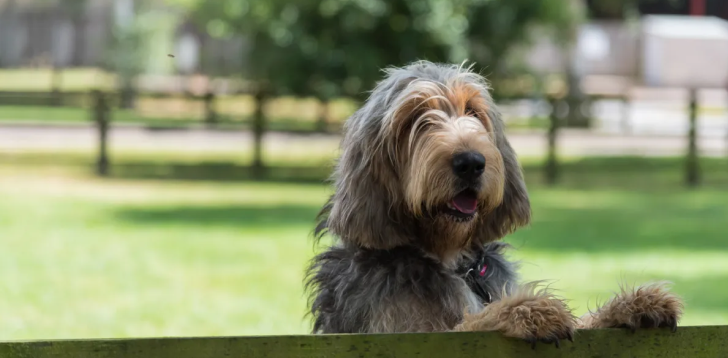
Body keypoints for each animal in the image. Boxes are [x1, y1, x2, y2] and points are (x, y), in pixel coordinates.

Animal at [306, 60, 684, 346]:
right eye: (415, 118)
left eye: (473, 110)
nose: (471, 162)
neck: (450, 258)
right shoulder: (406, 333)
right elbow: (470, 323)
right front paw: (526, 311)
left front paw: (630, 306)